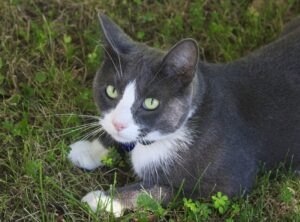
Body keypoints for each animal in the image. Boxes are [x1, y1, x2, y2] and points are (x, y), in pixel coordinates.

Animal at [68, 13, 300, 217]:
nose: (118, 124)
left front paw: (104, 199)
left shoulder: (229, 182)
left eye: (150, 103)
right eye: (111, 91)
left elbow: (160, 190)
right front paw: (89, 150)